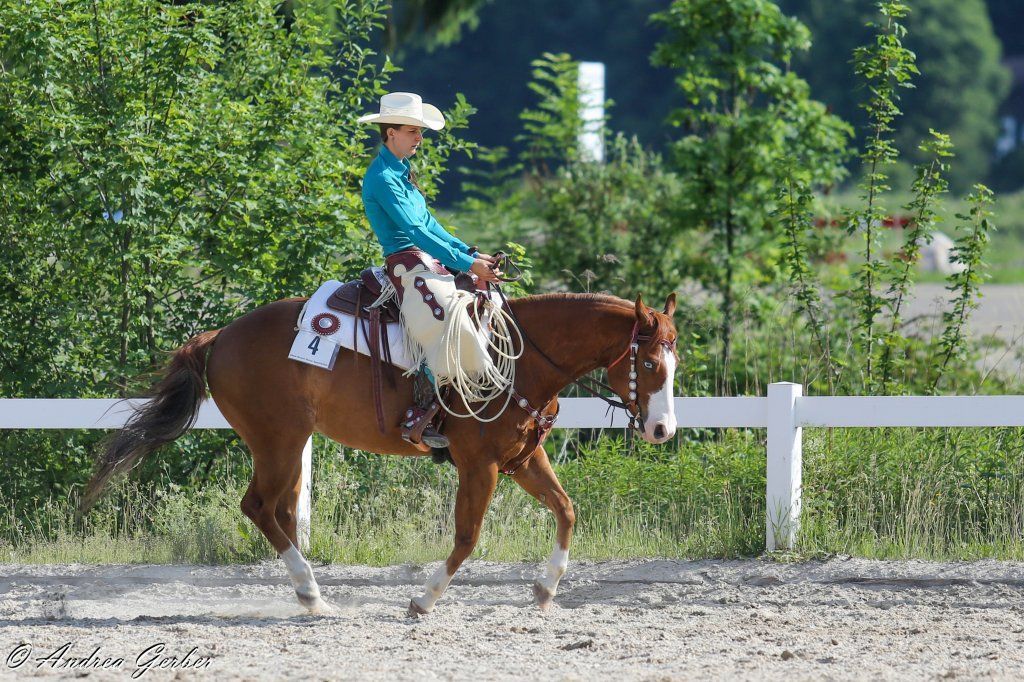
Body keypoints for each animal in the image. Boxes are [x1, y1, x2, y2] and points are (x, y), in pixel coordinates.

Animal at [81, 289, 679, 614]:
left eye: (677, 363)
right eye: (650, 363)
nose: (662, 429)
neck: (517, 357)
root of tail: (220, 336)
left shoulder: (521, 459)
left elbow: (566, 510)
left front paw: (545, 587)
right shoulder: (479, 465)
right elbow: (467, 538)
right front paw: (424, 600)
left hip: (288, 447)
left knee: (279, 512)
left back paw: (311, 596)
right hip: (278, 441)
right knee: (259, 507)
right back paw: (312, 594)